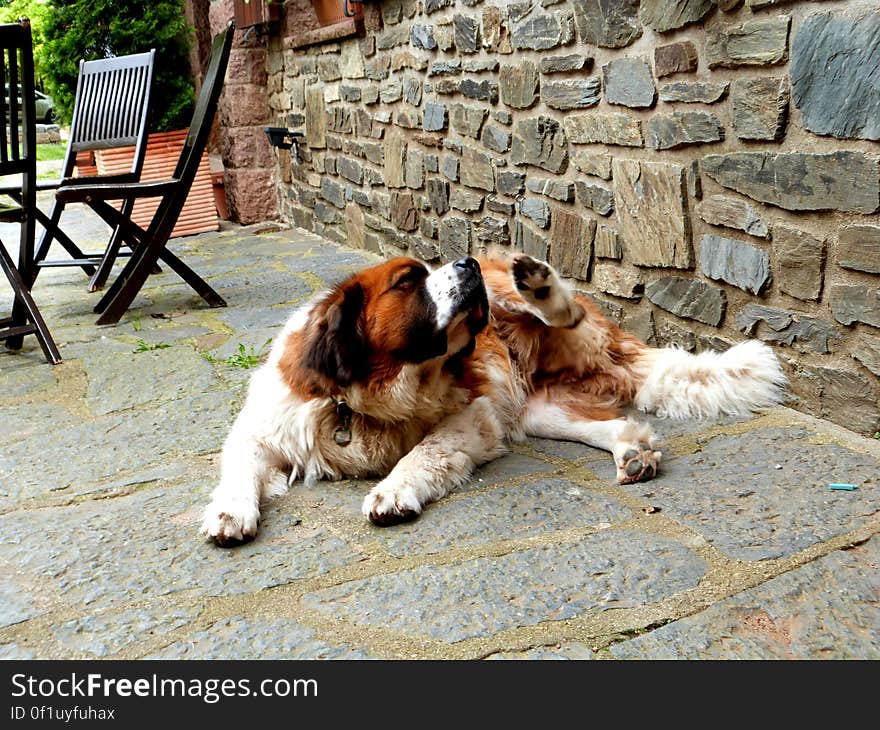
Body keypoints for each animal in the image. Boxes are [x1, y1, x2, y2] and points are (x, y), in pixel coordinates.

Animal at [203, 247, 788, 544]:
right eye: (406, 282)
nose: (466, 265)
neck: (373, 393)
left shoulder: (476, 413)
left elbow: (425, 451)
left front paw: (393, 491)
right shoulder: (265, 425)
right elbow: (240, 465)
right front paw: (230, 512)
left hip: (520, 314)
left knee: (561, 317)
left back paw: (544, 287)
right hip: (538, 409)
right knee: (614, 423)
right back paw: (633, 454)